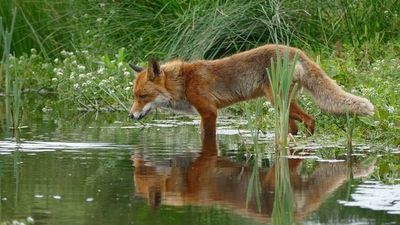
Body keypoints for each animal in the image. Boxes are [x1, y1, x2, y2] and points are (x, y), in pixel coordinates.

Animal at [128, 43, 376, 136]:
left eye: (143, 96)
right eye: (134, 96)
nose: (130, 116)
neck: (184, 82)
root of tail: (295, 50)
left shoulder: (209, 112)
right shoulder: (203, 115)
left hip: (278, 101)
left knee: (311, 119)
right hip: (283, 106)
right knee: (295, 127)